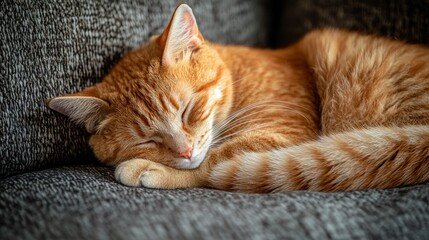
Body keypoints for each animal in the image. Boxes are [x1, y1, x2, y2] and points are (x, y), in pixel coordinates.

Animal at [47, 3, 428, 192]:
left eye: (188, 111)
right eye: (147, 140)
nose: (184, 151)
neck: (237, 76)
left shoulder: (279, 135)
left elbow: (217, 162)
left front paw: (154, 170)